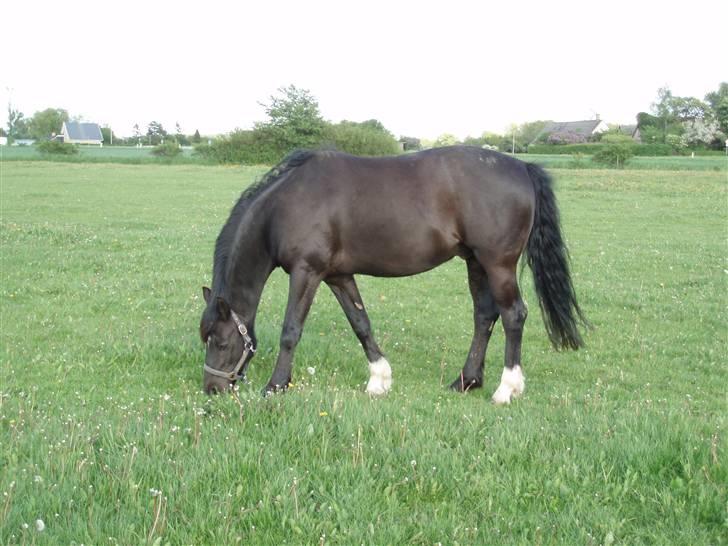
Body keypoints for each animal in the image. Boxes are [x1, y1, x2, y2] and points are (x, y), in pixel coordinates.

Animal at [199, 143, 584, 400]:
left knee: (513, 315)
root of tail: (523, 168)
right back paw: (466, 381)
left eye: (220, 341)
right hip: (476, 263)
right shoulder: (337, 276)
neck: (285, 205)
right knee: (484, 316)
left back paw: (507, 388)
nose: (212, 388)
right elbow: (360, 323)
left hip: (497, 263)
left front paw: (276, 385)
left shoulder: (306, 272)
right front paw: (378, 379)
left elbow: (291, 330)